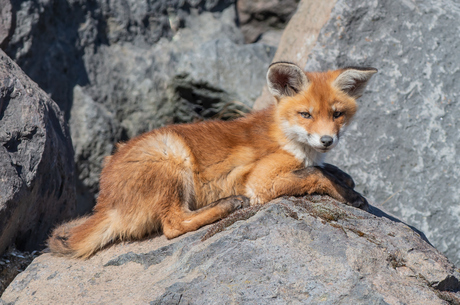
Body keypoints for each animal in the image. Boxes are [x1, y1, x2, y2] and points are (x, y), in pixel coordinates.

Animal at [48, 63, 376, 258]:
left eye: (337, 114)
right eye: (306, 114)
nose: (327, 141)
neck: (285, 134)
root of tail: (105, 200)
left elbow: (325, 169)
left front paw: (342, 176)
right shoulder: (260, 182)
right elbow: (316, 175)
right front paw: (350, 196)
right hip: (171, 155)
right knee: (173, 225)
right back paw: (228, 204)